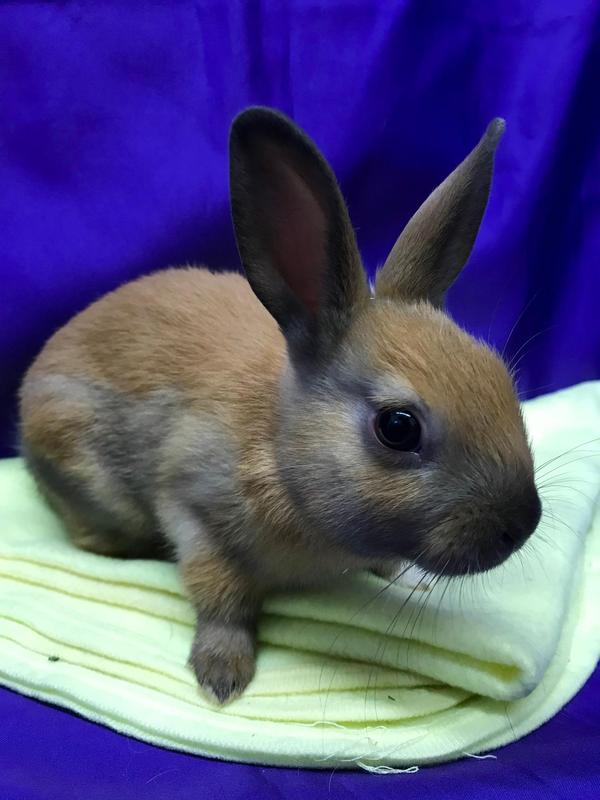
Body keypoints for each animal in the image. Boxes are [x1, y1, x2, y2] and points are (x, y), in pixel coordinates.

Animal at [19, 107, 541, 704]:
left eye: (502, 380)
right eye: (398, 427)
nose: (522, 523)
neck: (278, 447)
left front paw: (403, 576)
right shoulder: (194, 512)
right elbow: (222, 599)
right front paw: (222, 675)